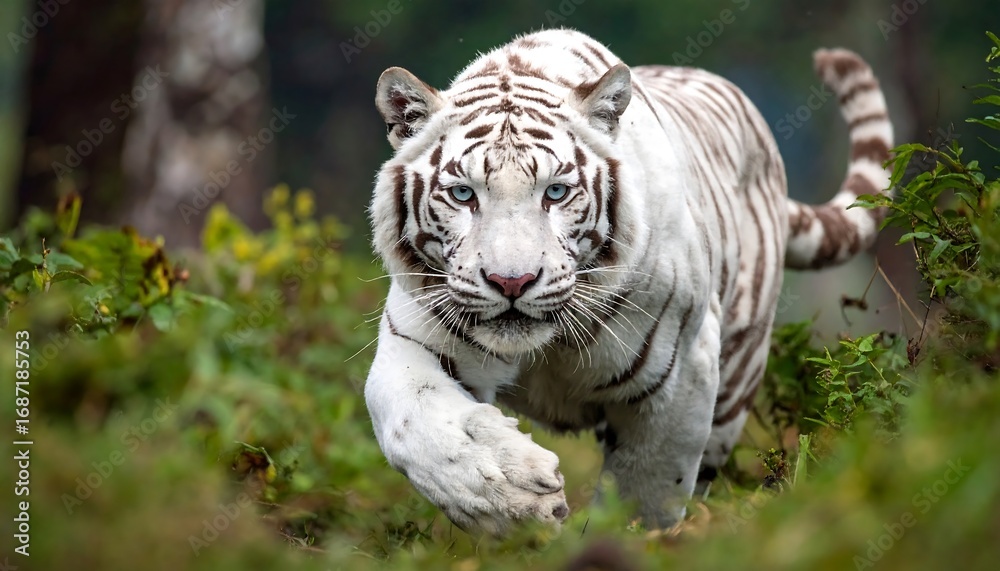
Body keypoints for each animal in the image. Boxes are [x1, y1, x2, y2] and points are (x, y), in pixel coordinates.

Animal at [364, 28, 892, 535]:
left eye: (556, 192)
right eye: (462, 194)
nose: (511, 282)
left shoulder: (681, 370)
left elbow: (648, 491)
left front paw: (631, 542)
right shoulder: (413, 338)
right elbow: (413, 423)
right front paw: (511, 493)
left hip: (736, 380)